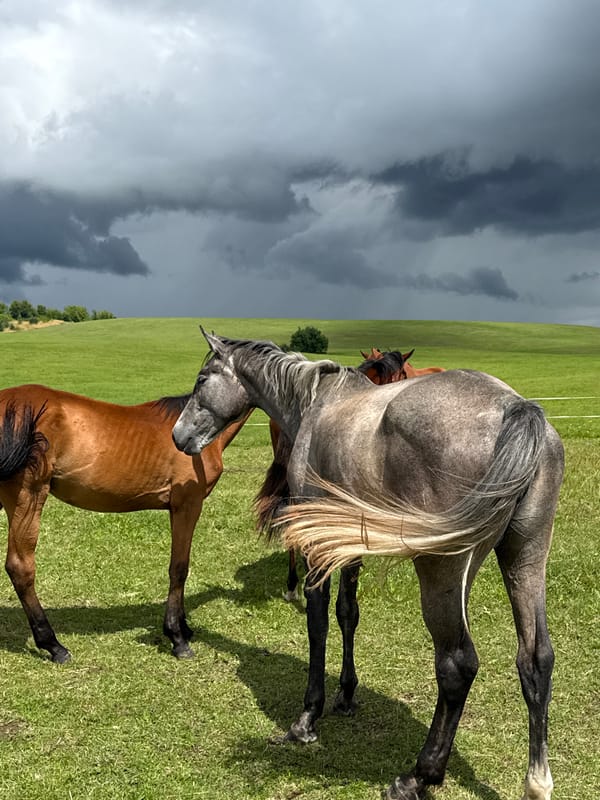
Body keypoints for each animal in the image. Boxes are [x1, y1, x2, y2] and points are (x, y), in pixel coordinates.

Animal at [0, 384, 250, 662]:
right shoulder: (187, 505)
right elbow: (179, 568)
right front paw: (177, 637)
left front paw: (184, 627)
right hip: (27, 496)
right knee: (20, 567)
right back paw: (54, 645)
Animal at [172, 329, 563, 800]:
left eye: (202, 379)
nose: (177, 436)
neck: (315, 402)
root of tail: (515, 407)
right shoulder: (350, 540)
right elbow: (348, 613)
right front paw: (346, 695)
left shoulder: (318, 541)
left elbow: (319, 619)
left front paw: (308, 717)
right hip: (524, 557)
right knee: (535, 659)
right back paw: (537, 781)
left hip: (443, 569)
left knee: (457, 664)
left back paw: (419, 775)